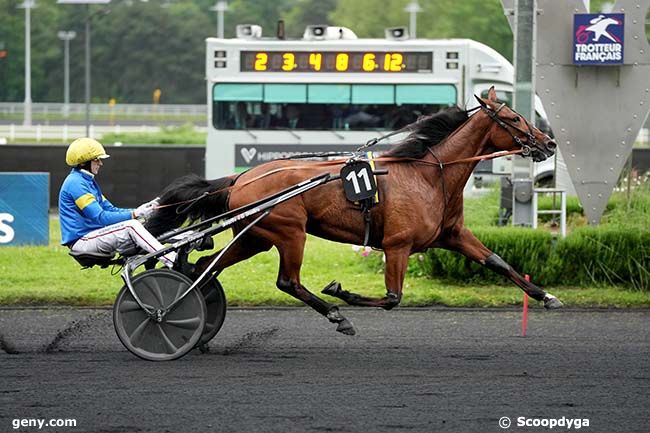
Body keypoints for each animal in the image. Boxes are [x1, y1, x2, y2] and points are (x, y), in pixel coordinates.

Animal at [147, 85, 556, 334]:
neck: (429, 175)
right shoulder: (397, 245)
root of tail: (240, 178)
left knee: (204, 266)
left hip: (255, 238)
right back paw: (334, 314)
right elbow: (392, 299)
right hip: (289, 232)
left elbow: (498, 262)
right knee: (287, 281)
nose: (549, 143)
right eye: (515, 118)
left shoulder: (452, 235)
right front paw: (340, 292)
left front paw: (546, 296)